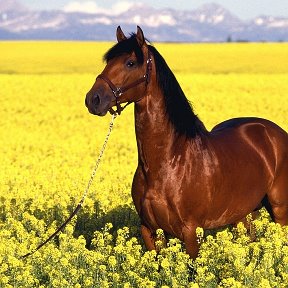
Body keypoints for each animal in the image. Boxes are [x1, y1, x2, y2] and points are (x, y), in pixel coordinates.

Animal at [85, 25, 288, 258]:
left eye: (130, 63)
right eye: (108, 61)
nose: (93, 99)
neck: (168, 161)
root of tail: (275, 132)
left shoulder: (191, 232)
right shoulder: (149, 230)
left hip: (280, 210)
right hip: (242, 214)